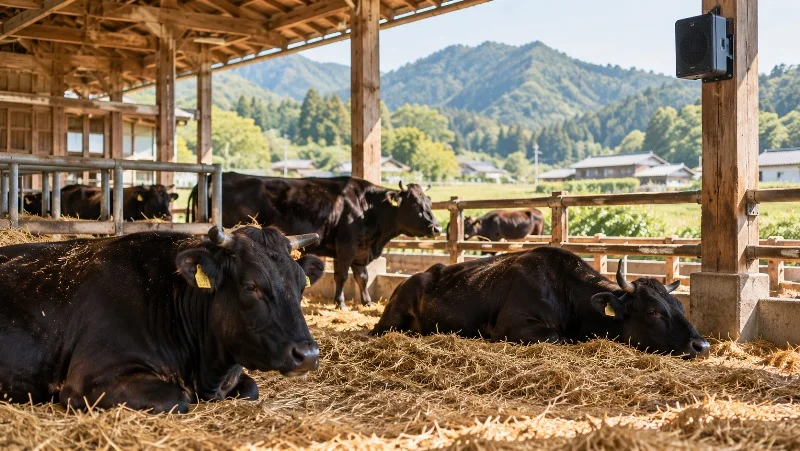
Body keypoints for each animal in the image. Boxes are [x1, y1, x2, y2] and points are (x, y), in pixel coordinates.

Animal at [0, 226, 324, 413]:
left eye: (302, 285)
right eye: (250, 286)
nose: (307, 355)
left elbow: (250, 388)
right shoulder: (89, 379)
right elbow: (176, 398)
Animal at [188, 173, 441, 310]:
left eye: (429, 201)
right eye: (415, 204)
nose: (437, 227)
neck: (367, 208)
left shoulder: (359, 250)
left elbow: (363, 277)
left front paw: (367, 302)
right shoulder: (346, 246)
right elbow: (342, 276)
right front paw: (340, 303)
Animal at [371, 247, 710, 359]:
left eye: (681, 307)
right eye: (653, 311)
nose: (702, 346)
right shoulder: (512, 325)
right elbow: (557, 338)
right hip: (390, 319)